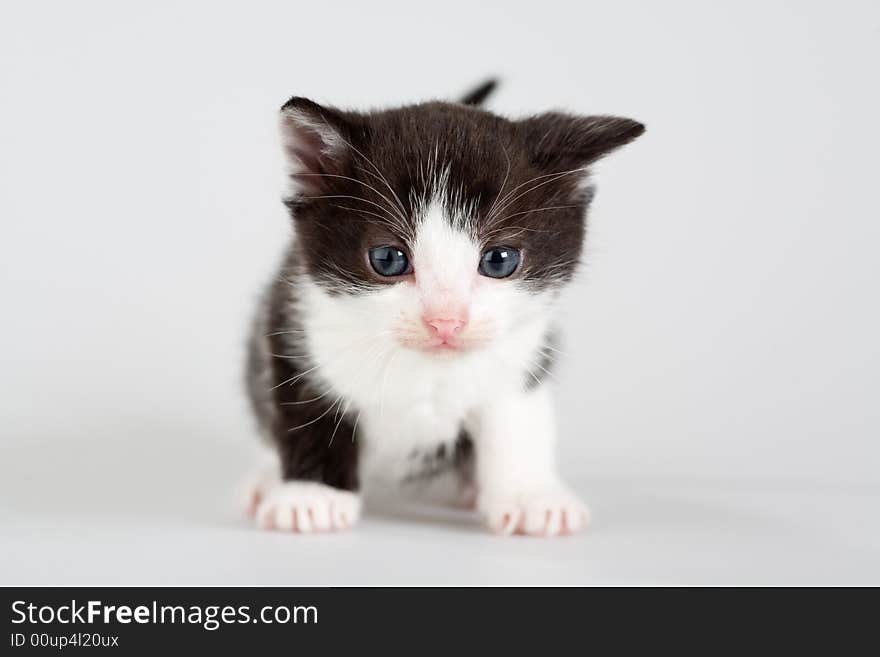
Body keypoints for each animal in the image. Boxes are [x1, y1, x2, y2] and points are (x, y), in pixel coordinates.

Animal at [244, 79, 644, 536]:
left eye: (500, 260)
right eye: (388, 259)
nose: (446, 322)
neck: (427, 369)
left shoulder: (523, 351)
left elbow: (514, 416)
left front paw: (529, 495)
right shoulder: (295, 324)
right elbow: (308, 407)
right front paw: (311, 495)